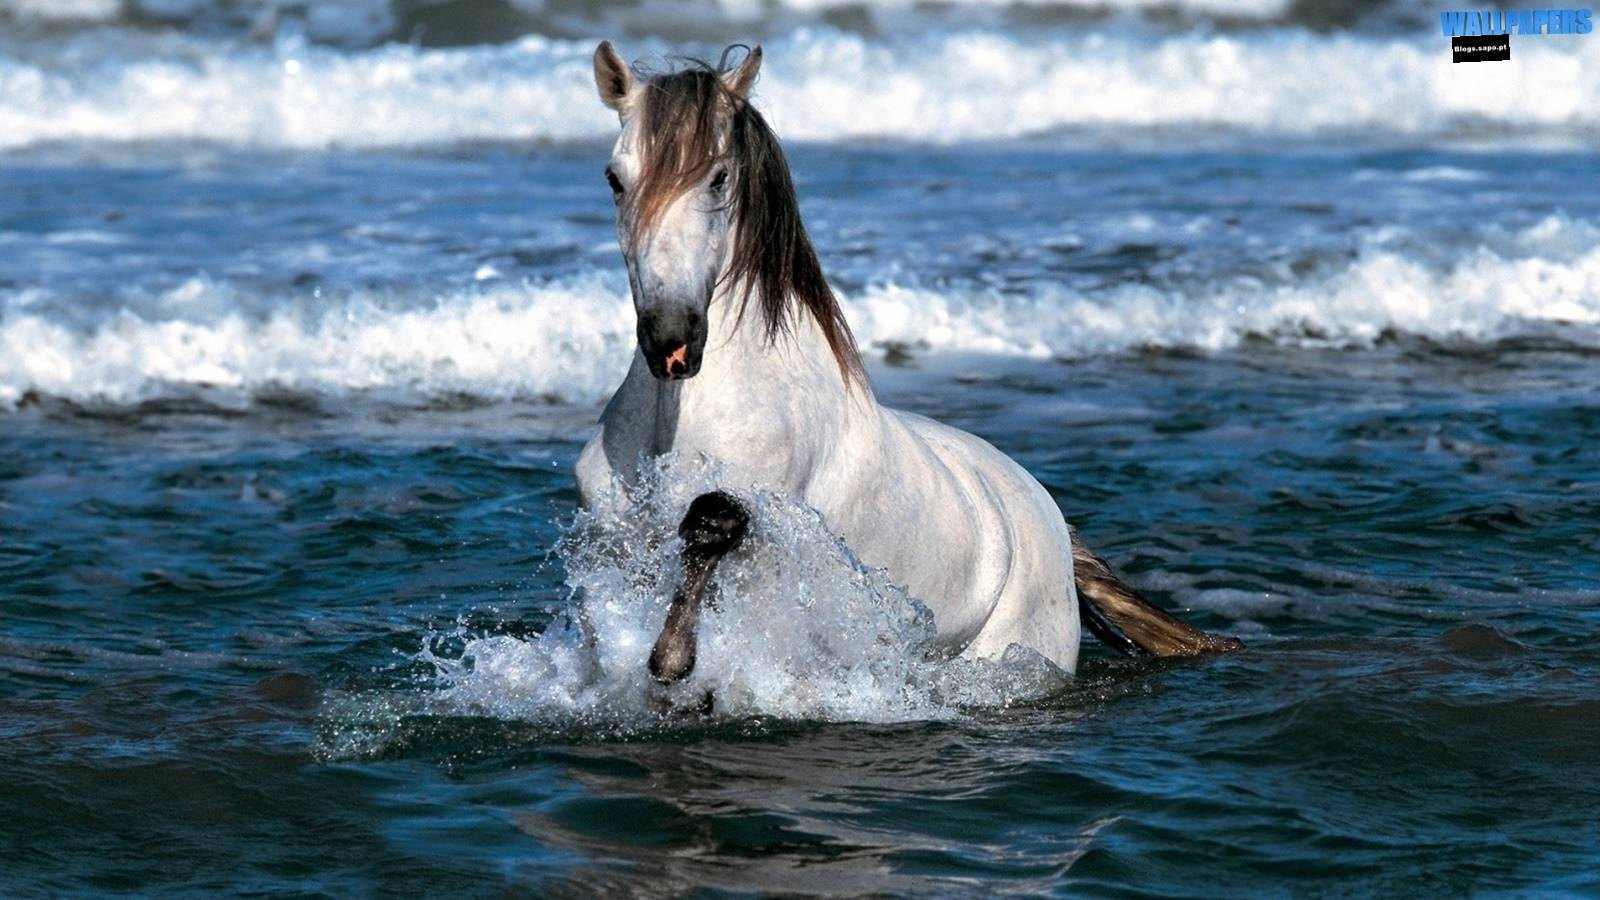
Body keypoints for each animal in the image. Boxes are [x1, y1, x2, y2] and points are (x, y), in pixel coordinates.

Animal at [575, 42, 1241, 688]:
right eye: (613, 178)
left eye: (717, 179)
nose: (671, 339)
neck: (681, 418)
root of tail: (1049, 517)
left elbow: (712, 522)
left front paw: (673, 661)